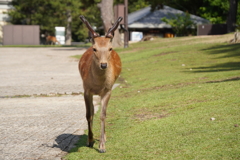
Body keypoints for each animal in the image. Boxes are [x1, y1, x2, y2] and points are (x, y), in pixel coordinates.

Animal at [79, 15, 122, 153]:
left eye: (110, 48)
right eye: (95, 49)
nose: (103, 65)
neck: (98, 84)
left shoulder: (108, 90)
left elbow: (103, 115)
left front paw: (102, 146)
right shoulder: (86, 90)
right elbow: (89, 114)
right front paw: (90, 141)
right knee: (92, 111)